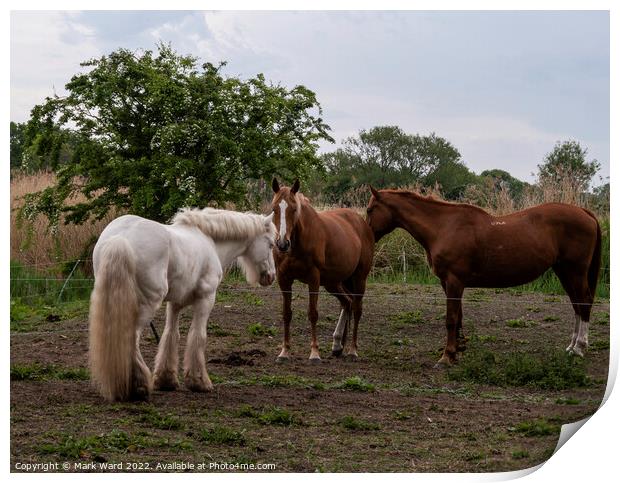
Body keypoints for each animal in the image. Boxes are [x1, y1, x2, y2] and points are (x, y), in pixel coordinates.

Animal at [88, 208, 274, 400]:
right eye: (271, 244)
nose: (271, 276)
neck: (210, 241)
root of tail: (120, 238)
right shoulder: (206, 298)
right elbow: (198, 335)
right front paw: (199, 382)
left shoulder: (175, 303)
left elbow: (171, 334)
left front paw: (166, 380)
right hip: (147, 305)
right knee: (131, 338)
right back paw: (138, 386)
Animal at [270, 180, 372, 362]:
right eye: (274, 208)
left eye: (294, 209)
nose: (282, 244)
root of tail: (362, 224)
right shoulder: (284, 279)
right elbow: (286, 314)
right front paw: (284, 352)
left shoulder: (314, 278)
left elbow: (313, 313)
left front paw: (314, 353)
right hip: (333, 282)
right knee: (347, 302)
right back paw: (338, 345)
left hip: (359, 278)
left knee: (357, 309)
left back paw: (352, 350)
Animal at [368, 188, 600, 366]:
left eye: (370, 209)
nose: (366, 236)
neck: (444, 226)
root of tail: (584, 212)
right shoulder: (448, 283)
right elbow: (459, 317)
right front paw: (458, 348)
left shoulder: (454, 281)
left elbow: (451, 318)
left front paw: (446, 357)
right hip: (564, 271)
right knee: (577, 305)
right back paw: (571, 346)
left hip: (575, 271)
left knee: (584, 302)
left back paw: (579, 348)